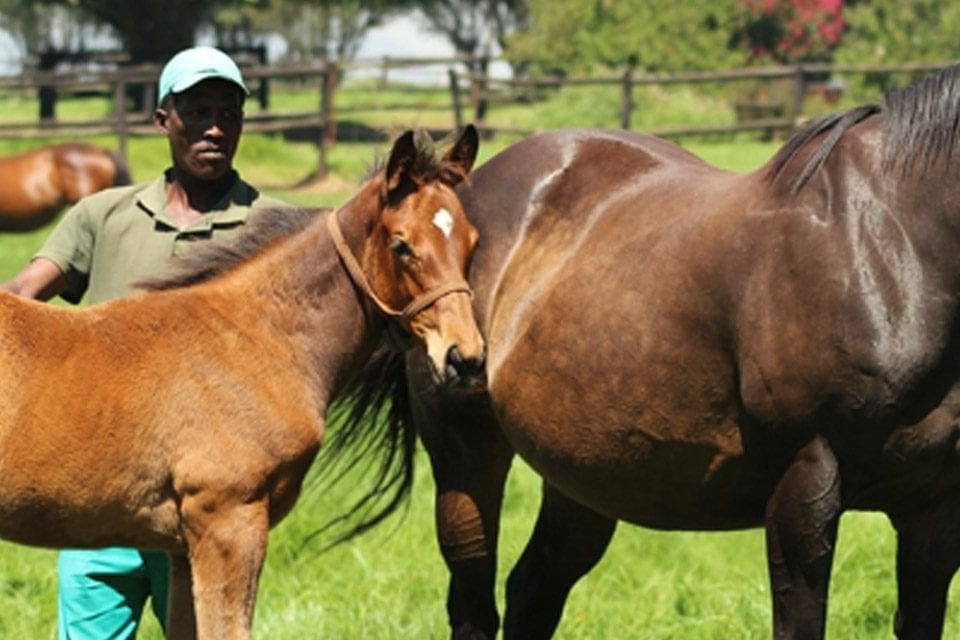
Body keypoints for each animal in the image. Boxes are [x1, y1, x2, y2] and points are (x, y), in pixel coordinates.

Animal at [350, 64, 960, 640]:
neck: (890, 244)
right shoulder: (805, 488)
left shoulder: (934, 512)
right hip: (465, 455)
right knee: (475, 607)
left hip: (582, 475)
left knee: (532, 593)